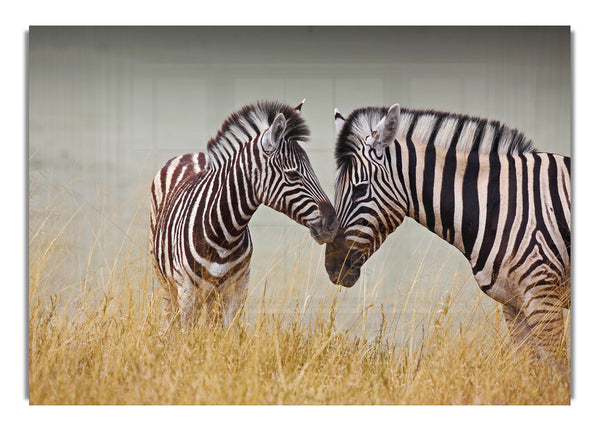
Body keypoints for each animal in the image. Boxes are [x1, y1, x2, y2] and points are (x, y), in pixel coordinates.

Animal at [151, 101, 338, 330]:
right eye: (293, 174)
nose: (332, 223)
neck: (224, 234)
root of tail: (191, 154)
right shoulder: (187, 291)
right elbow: (187, 334)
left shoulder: (238, 289)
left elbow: (224, 334)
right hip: (167, 283)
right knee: (171, 321)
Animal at [326, 104, 568, 378]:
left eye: (359, 189)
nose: (331, 267)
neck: (497, 204)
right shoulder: (513, 302)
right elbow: (531, 370)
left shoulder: (543, 294)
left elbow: (558, 369)